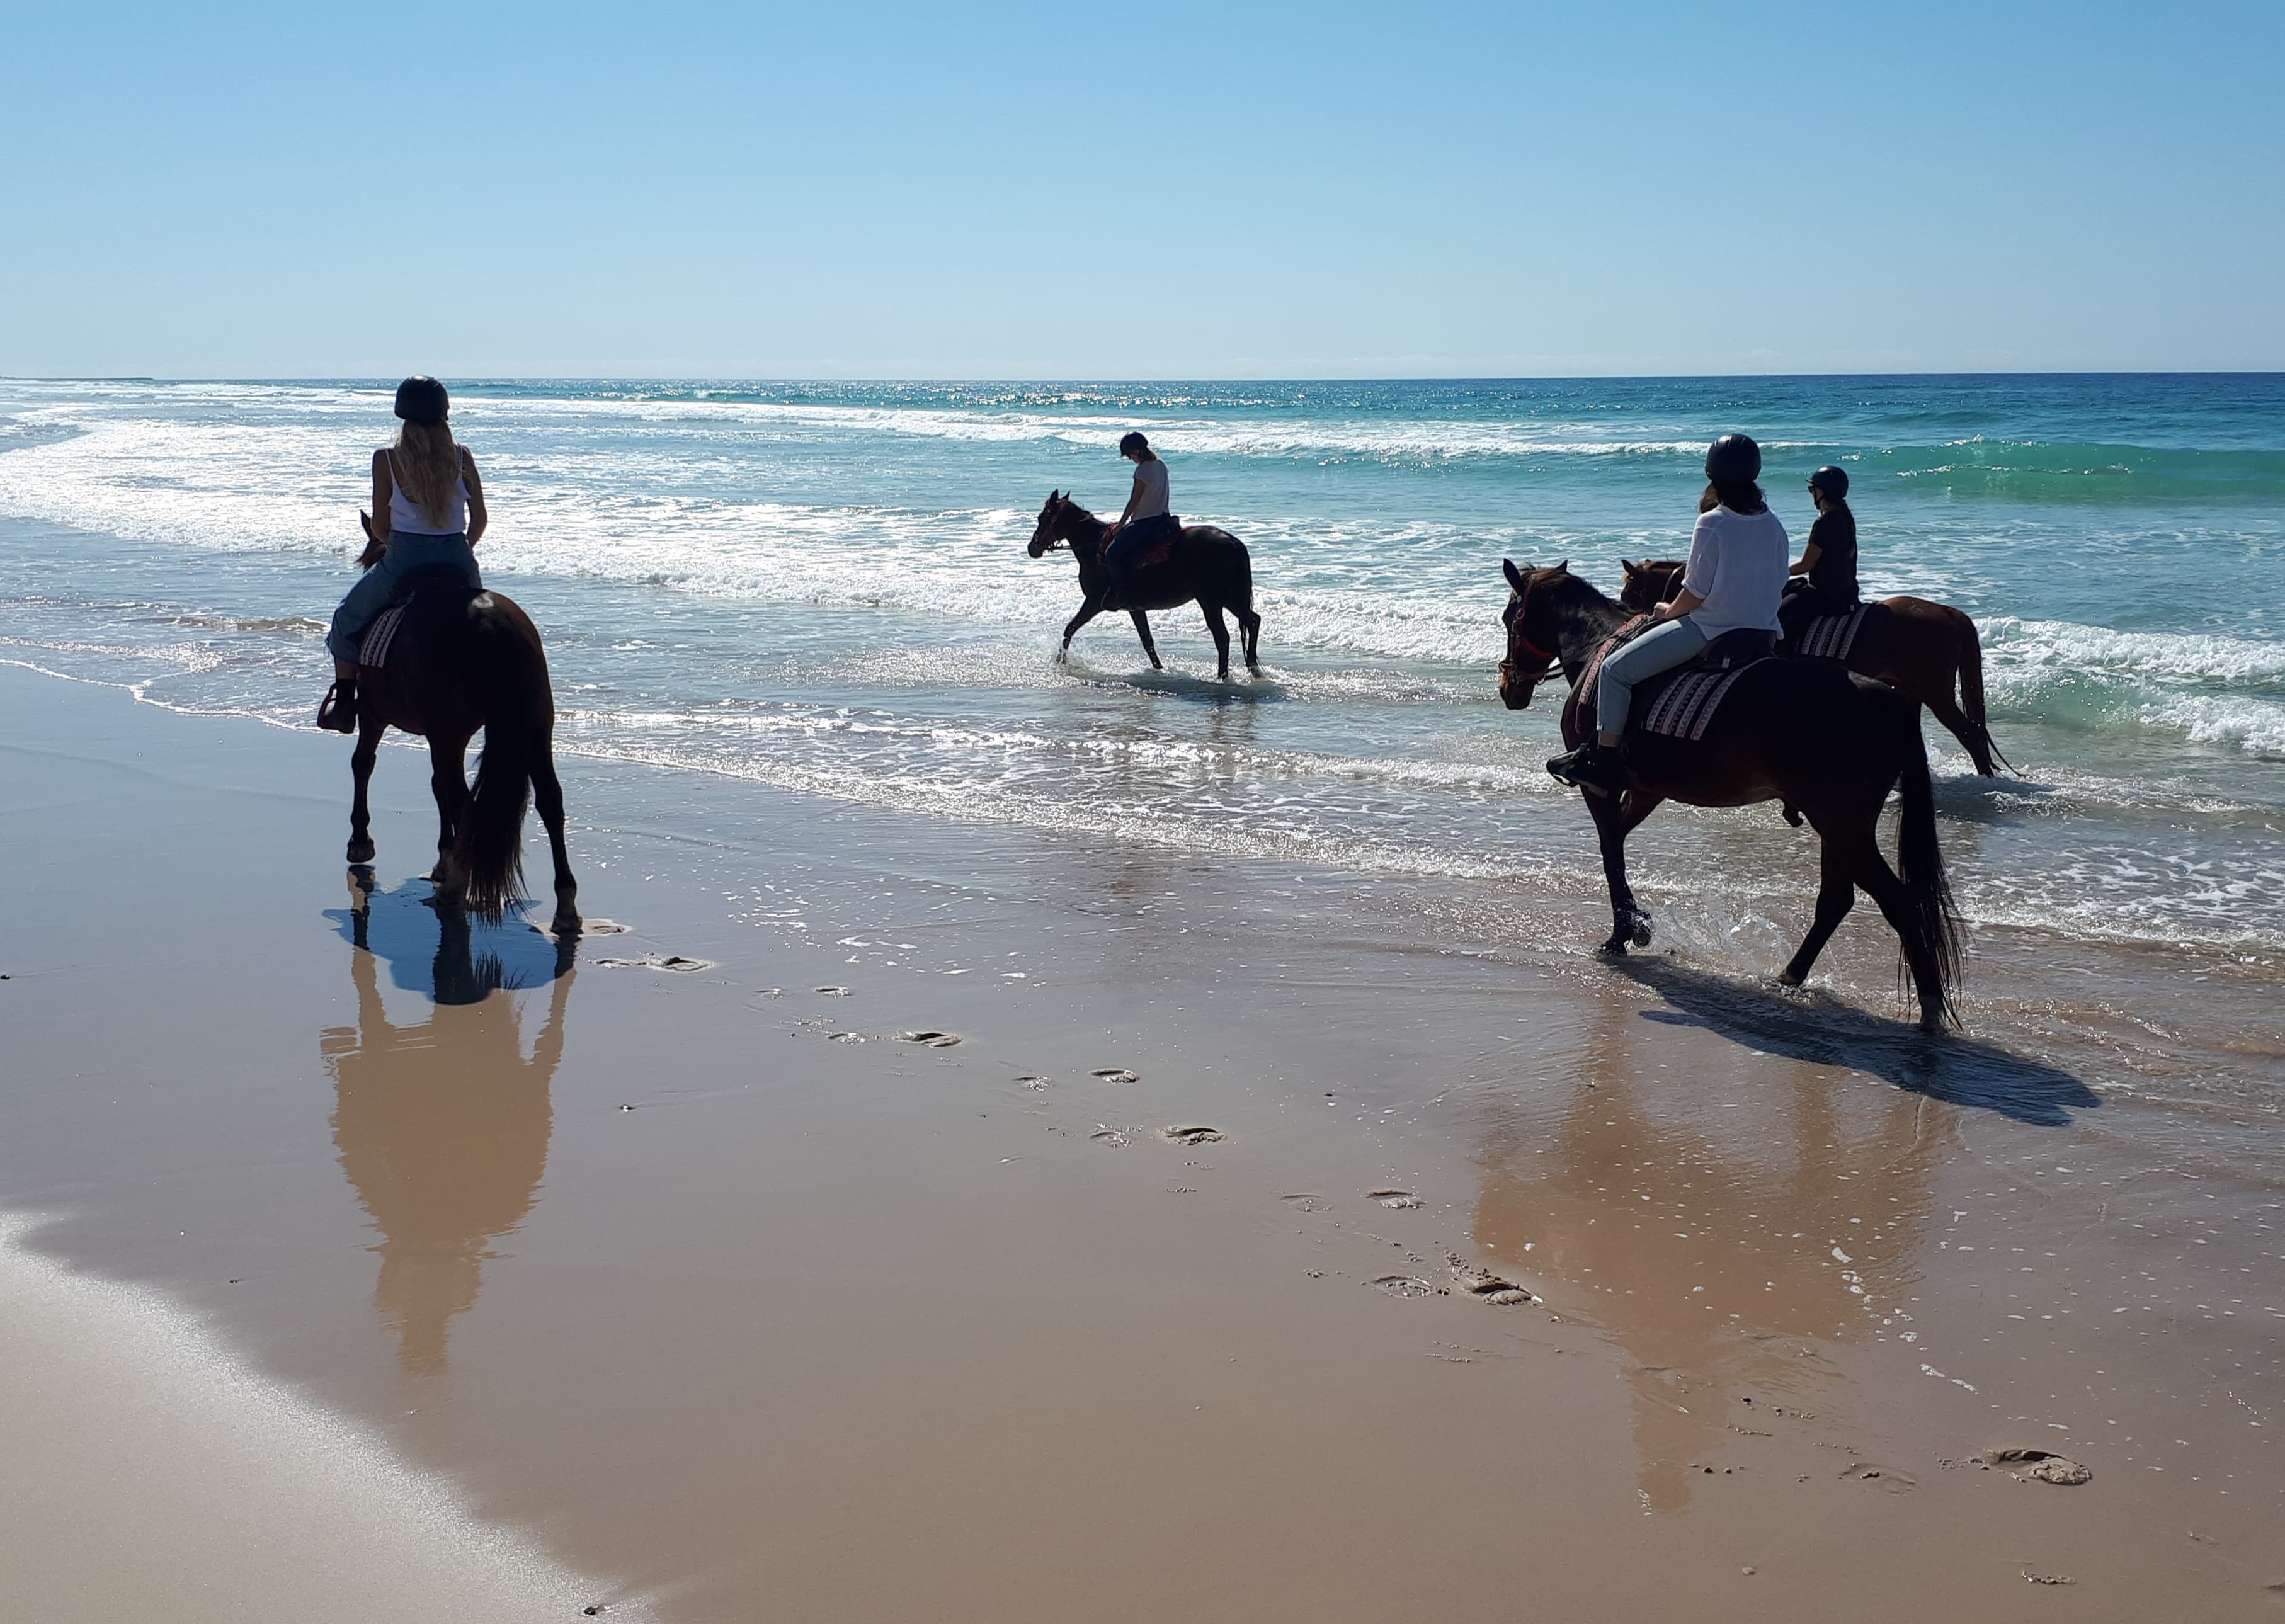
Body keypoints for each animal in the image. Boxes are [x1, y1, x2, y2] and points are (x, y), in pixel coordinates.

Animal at [345, 514, 584, 931]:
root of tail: (490, 622)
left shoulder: (377, 716)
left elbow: (364, 764)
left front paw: (361, 840)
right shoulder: (440, 735)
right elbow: (435, 785)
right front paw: (443, 858)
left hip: (450, 733)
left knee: (464, 800)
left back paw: (456, 886)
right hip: (537, 728)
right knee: (550, 801)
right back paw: (565, 905)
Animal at [1032, 489, 1270, 680]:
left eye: (1042, 517)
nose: (1031, 547)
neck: (1094, 548)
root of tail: (1233, 542)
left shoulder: (1094, 602)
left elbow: (1070, 628)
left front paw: (1060, 661)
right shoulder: (1135, 608)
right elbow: (1147, 641)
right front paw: (1159, 670)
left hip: (1211, 601)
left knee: (1223, 636)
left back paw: (1223, 676)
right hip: (1229, 599)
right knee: (1253, 621)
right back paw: (1252, 668)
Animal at [1498, 559, 1965, 1036]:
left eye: (1508, 618)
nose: (1508, 688)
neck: (1597, 643)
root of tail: (1890, 700)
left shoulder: (1601, 787)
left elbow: (1611, 853)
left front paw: (1624, 932)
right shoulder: (1646, 791)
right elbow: (1617, 845)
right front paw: (1634, 924)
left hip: (1842, 824)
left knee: (1898, 902)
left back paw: (1929, 1007)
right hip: (1838, 826)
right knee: (1837, 899)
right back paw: (1791, 974)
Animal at [1617, 559, 2010, 776]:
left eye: (1631, 586)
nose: (1621, 606)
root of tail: (1949, 612)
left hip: (1935, 693)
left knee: (1970, 734)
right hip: (1912, 690)